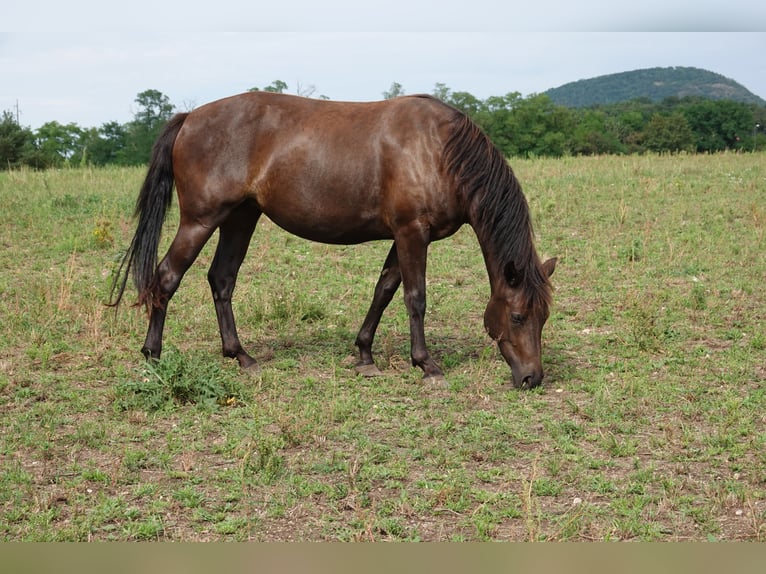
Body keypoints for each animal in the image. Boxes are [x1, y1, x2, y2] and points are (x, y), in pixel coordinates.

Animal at [111, 92, 560, 392]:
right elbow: (415, 297)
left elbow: (384, 290)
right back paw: (152, 356)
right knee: (166, 278)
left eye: (544, 317)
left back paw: (241, 356)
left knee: (221, 279)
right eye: (518, 316)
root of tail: (190, 117)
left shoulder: (402, 236)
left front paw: (364, 355)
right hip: (200, 220)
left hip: (240, 218)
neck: (439, 151)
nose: (531, 378)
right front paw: (426, 364)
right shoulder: (412, 232)